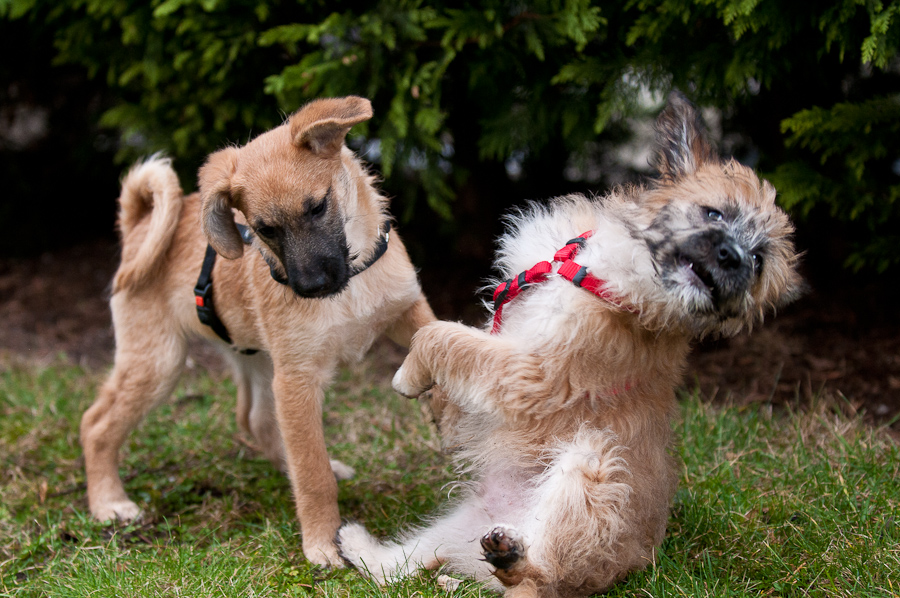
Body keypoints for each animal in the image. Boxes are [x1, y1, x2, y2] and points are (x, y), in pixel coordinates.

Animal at [81, 97, 436, 568]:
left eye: (317, 207)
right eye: (264, 229)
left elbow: (443, 338)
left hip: (257, 359)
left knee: (256, 420)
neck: (353, 282)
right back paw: (109, 502)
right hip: (159, 362)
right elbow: (311, 473)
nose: (311, 288)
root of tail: (139, 226)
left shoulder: (408, 311)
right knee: (96, 424)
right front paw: (322, 542)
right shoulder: (298, 379)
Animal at [338, 91, 800, 596]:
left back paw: (514, 557)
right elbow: (461, 344)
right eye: (714, 213)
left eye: (758, 261)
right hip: (450, 529)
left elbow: (440, 335)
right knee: (398, 568)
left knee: (544, 576)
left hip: (591, 466)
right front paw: (441, 409)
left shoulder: (534, 373)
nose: (734, 258)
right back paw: (361, 546)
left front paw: (408, 375)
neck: (600, 275)